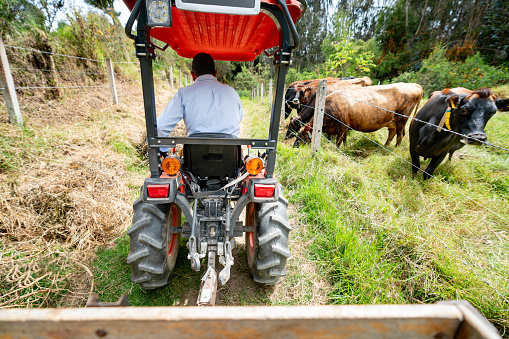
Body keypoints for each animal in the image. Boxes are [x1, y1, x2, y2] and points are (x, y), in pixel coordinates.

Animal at [292, 83, 422, 147]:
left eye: (300, 137)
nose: (294, 146)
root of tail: (415, 86)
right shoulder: (345, 126)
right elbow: (344, 139)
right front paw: (345, 146)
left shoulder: (343, 125)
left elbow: (338, 141)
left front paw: (338, 149)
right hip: (392, 122)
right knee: (392, 133)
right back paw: (386, 146)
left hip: (402, 118)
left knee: (399, 135)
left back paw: (395, 149)